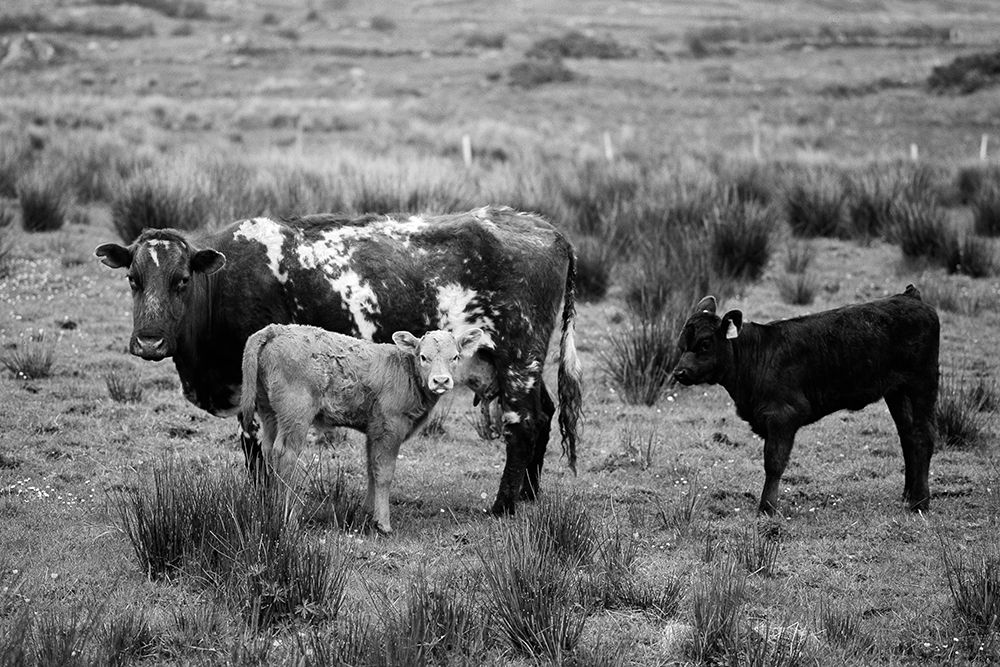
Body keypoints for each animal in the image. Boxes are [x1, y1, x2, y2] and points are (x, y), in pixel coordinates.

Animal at [239, 324, 485, 533]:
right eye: (424, 357)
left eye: (455, 357)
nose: (441, 381)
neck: (406, 372)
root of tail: (276, 329)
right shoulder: (390, 427)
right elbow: (384, 472)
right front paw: (383, 523)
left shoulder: (374, 429)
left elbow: (371, 468)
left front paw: (368, 511)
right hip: (296, 414)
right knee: (285, 455)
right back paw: (287, 516)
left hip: (269, 413)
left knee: (268, 451)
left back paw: (270, 506)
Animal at [671, 285, 939, 515]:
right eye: (681, 343)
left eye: (705, 343)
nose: (679, 373)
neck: (755, 358)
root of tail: (910, 296)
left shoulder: (783, 416)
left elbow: (774, 462)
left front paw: (767, 508)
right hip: (897, 391)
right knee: (907, 436)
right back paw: (908, 494)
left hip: (923, 383)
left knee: (923, 435)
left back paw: (920, 502)